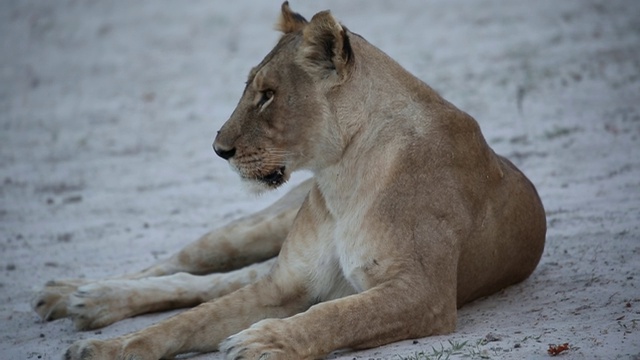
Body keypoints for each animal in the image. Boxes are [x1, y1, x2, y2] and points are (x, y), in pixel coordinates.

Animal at [36, 2, 544, 358]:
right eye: (249, 89)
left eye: (267, 95)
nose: (218, 149)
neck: (340, 175)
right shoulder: (284, 284)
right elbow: (187, 321)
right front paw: (105, 348)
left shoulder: (424, 292)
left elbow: (337, 313)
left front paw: (262, 341)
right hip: (255, 232)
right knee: (188, 266)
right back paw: (78, 295)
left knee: (216, 281)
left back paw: (80, 300)